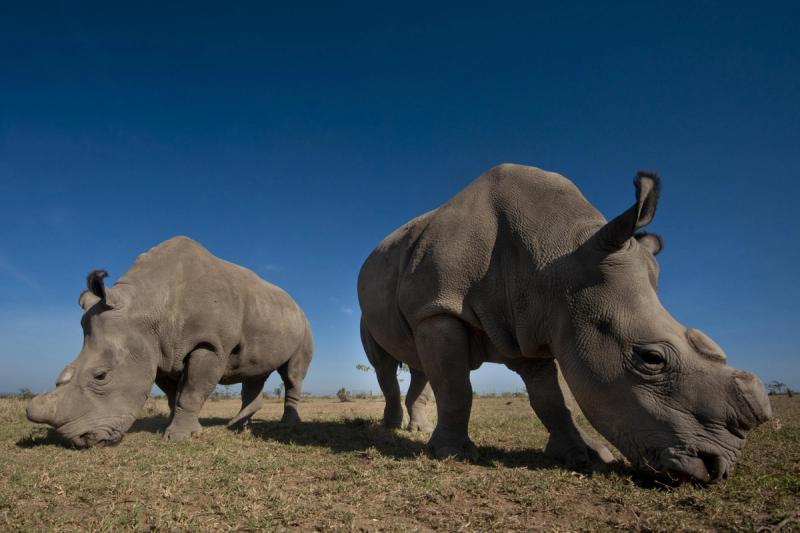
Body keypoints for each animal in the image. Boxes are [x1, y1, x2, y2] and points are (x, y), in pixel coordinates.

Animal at [27, 236, 313, 447]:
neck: (147, 305)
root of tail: (295, 304)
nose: (78, 440)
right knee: (254, 372)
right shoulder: (158, 351)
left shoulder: (209, 345)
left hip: (303, 324)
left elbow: (191, 391)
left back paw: (286, 424)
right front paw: (173, 427)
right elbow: (173, 394)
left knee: (291, 375)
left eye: (101, 376)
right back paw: (239, 428)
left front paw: (179, 437)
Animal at [358, 164, 771, 483]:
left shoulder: (531, 323)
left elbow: (551, 400)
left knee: (418, 365)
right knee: (386, 365)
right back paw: (390, 429)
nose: (717, 468)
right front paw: (451, 454)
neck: (558, 257)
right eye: (651, 359)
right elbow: (456, 388)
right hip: (380, 309)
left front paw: (584, 455)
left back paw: (416, 429)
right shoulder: (438, 309)